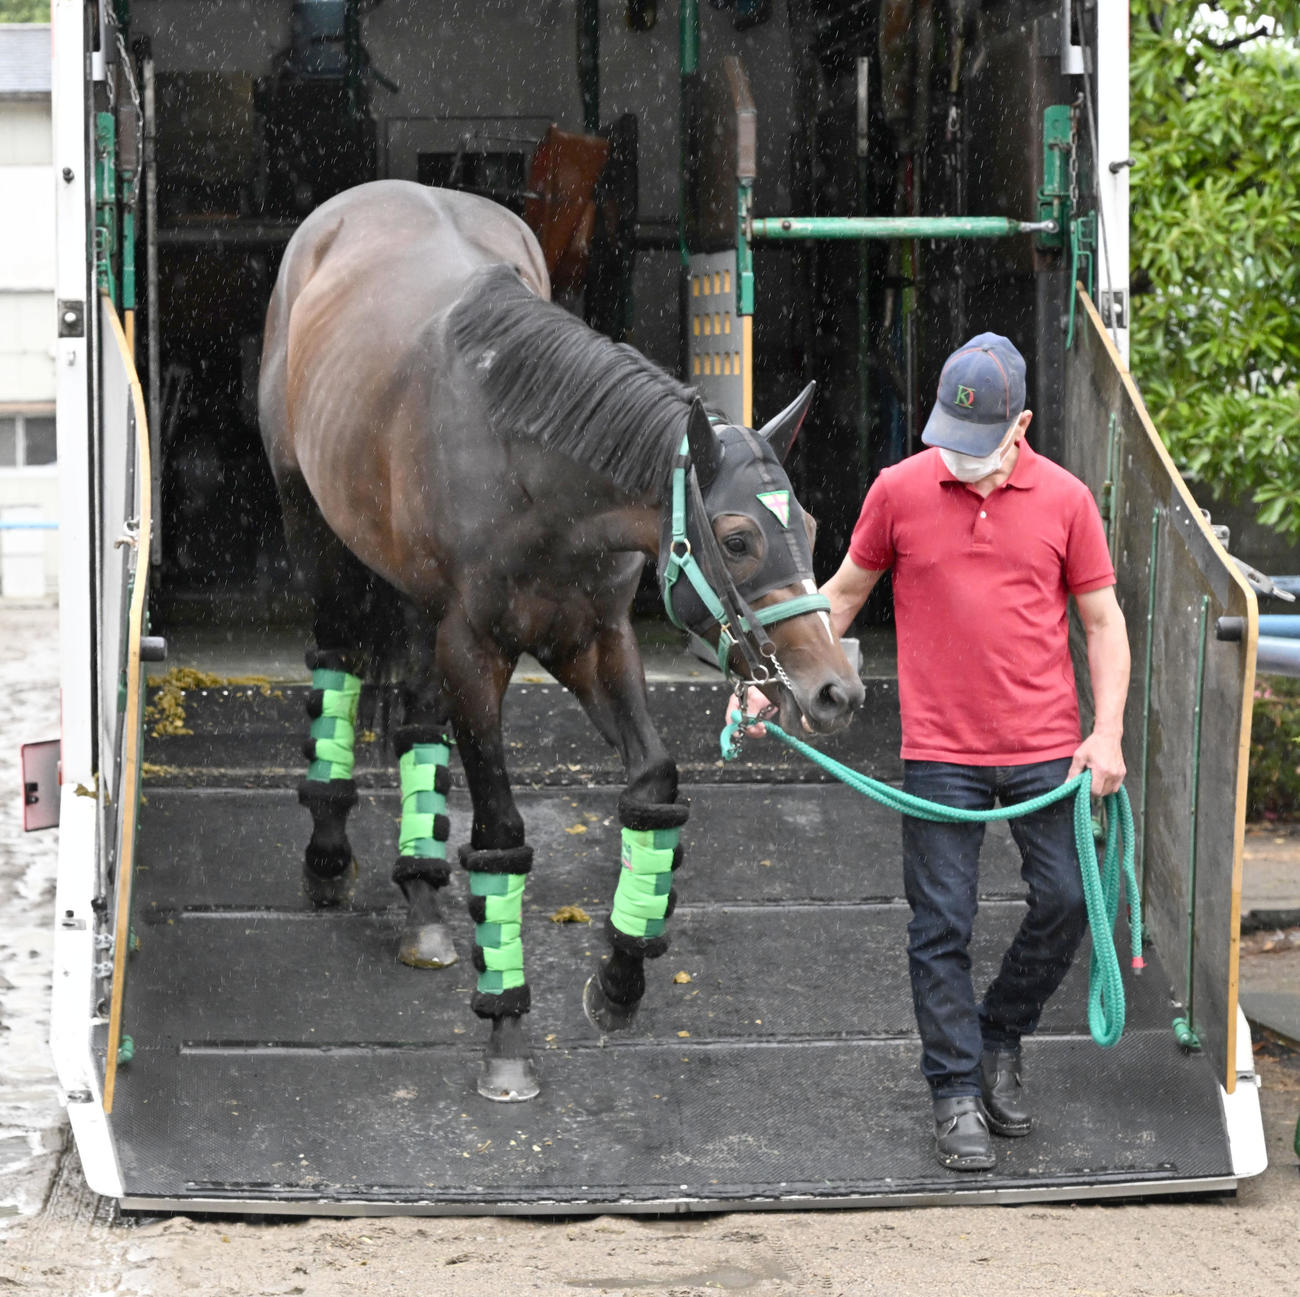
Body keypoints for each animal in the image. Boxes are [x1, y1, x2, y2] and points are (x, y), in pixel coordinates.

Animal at [258, 179, 864, 1102]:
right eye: (736, 539)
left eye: (813, 524)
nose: (835, 689)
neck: (530, 466)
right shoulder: (475, 651)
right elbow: (502, 834)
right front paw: (507, 1031)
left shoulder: (594, 641)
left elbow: (652, 788)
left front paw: (620, 975)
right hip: (314, 532)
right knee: (338, 661)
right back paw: (329, 856)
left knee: (416, 722)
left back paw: (424, 902)